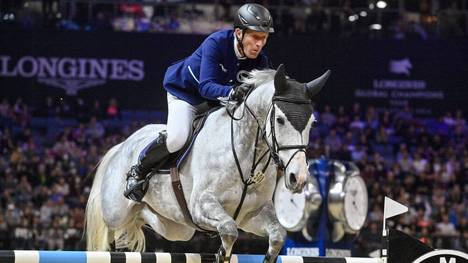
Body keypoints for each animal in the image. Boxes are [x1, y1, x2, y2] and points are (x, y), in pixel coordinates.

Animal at [86, 64, 330, 263]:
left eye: (312, 122)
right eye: (279, 120)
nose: (298, 178)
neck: (248, 155)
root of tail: (122, 145)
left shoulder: (252, 213)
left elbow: (278, 235)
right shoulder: (201, 205)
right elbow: (229, 230)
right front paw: (223, 254)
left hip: (177, 228)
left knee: (148, 218)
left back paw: (141, 215)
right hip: (115, 211)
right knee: (110, 226)